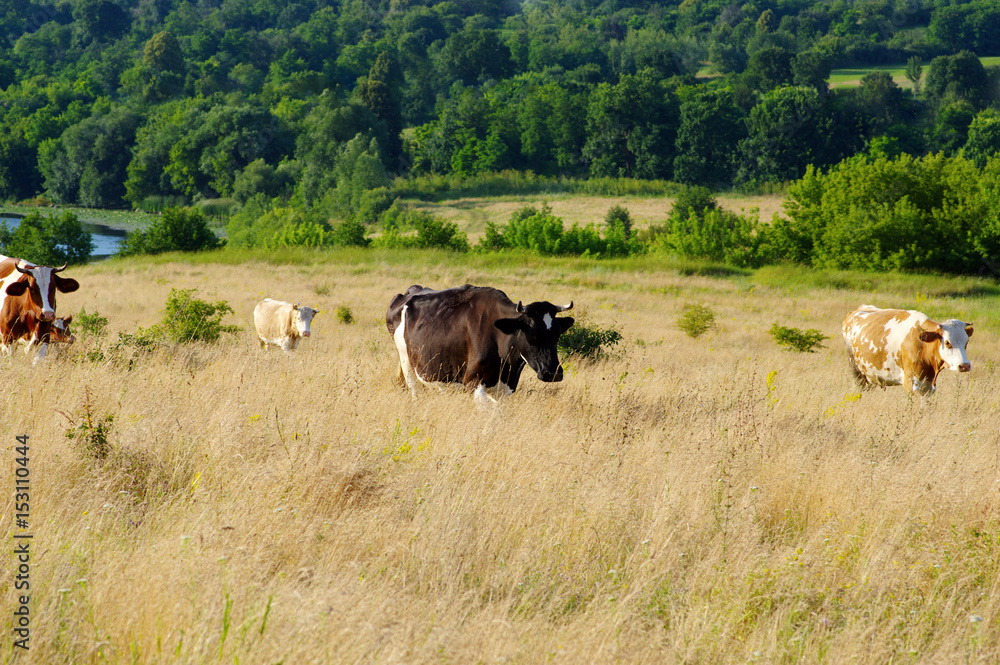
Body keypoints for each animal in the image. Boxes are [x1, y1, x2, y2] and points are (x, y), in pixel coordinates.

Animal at [384, 282, 576, 402]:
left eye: (557, 334)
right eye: (532, 333)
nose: (553, 373)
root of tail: (411, 291)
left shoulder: (506, 387)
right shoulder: (473, 383)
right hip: (406, 362)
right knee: (415, 391)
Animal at [840, 304, 972, 394]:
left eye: (966, 342)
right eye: (947, 342)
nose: (964, 365)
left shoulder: (928, 386)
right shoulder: (912, 384)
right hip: (856, 372)